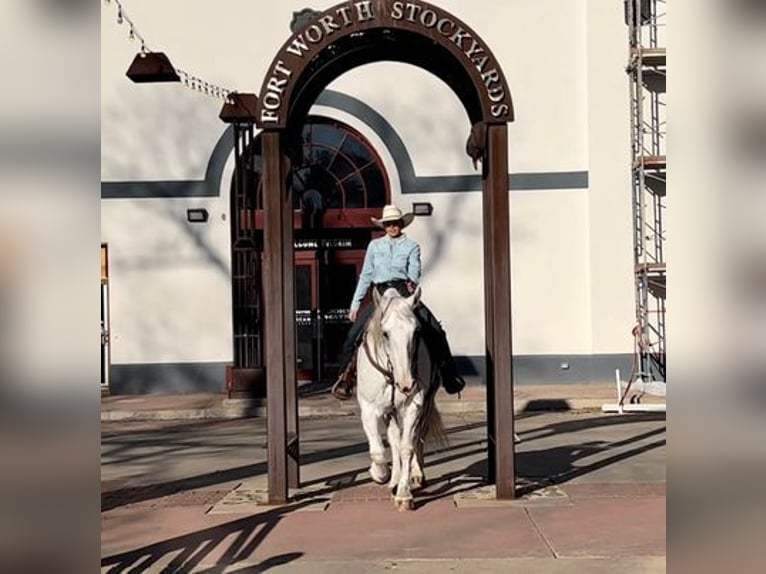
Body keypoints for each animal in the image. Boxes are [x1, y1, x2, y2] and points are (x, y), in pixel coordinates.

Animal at [356, 288, 448, 512]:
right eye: (385, 333)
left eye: (416, 332)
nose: (406, 384)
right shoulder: (370, 410)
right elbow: (379, 451)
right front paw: (382, 475)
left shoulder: (413, 407)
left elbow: (407, 447)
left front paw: (404, 494)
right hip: (390, 412)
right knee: (393, 439)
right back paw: (394, 479)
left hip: (423, 407)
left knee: (416, 438)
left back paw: (415, 474)